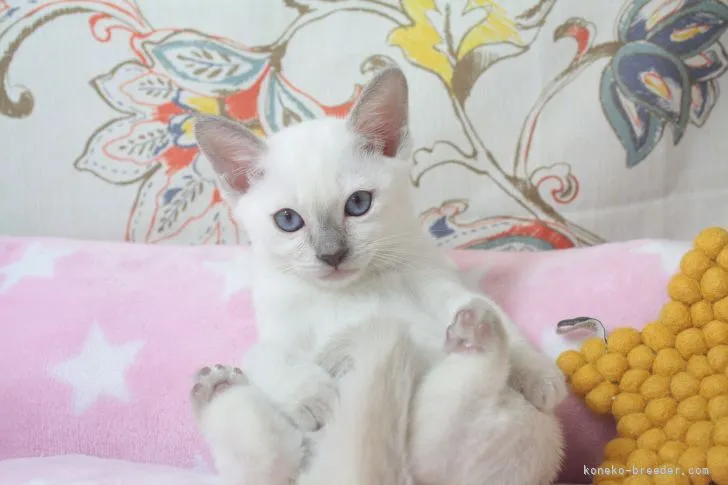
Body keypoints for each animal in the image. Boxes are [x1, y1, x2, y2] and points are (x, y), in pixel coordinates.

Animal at [191, 65, 564, 484]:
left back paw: (473, 335)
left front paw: (542, 377)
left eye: (358, 203)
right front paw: (314, 397)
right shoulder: (280, 328)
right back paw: (217, 387)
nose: (332, 255)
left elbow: (494, 312)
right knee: (269, 465)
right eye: (288, 220)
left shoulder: (438, 283)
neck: (353, 290)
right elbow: (261, 353)